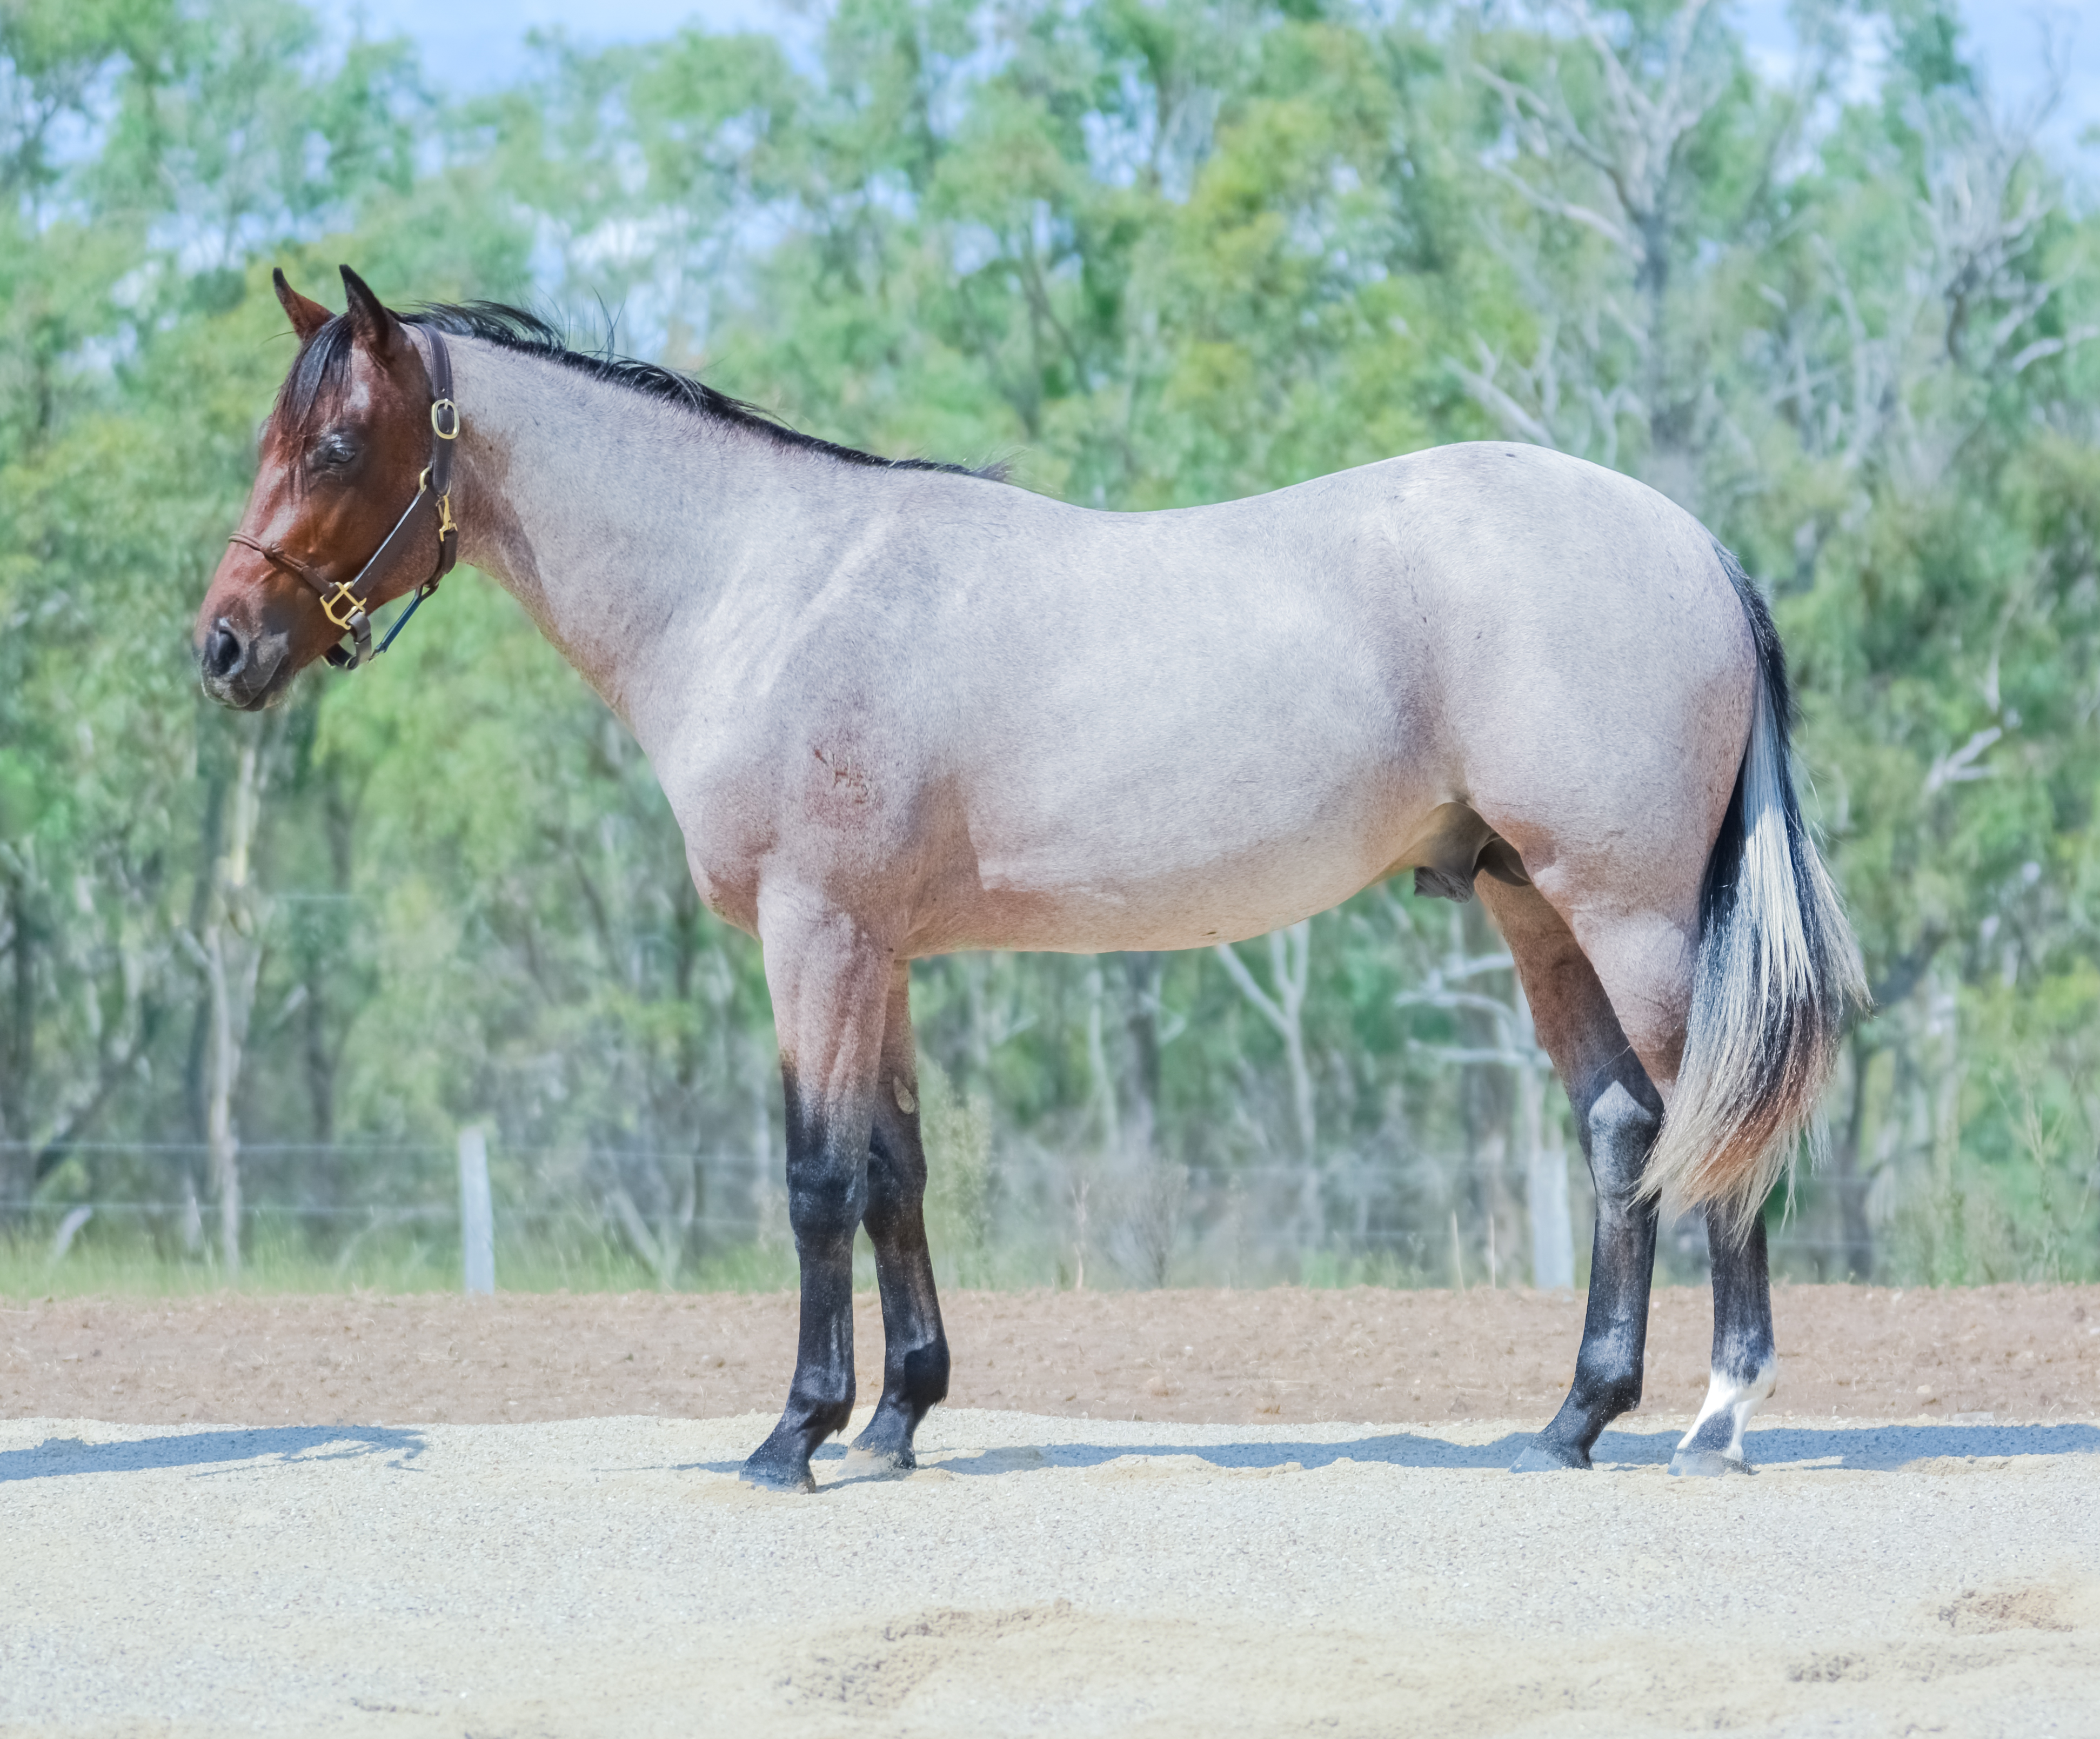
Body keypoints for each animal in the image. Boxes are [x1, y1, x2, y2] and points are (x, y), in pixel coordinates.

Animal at [194, 266, 1867, 1490]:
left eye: (333, 447)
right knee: (1621, 1132)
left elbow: (815, 1177)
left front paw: (793, 1434)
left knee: (1712, 1120)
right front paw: (893, 1421)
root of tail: (1690, 543)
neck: (766, 590)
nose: (221, 647)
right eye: (270, 443)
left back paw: (1717, 1419)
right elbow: (895, 1171)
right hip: (1534, 909)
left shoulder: (813, 937)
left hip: (1630, 914)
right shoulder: (880, 952)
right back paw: (1572, 1420)